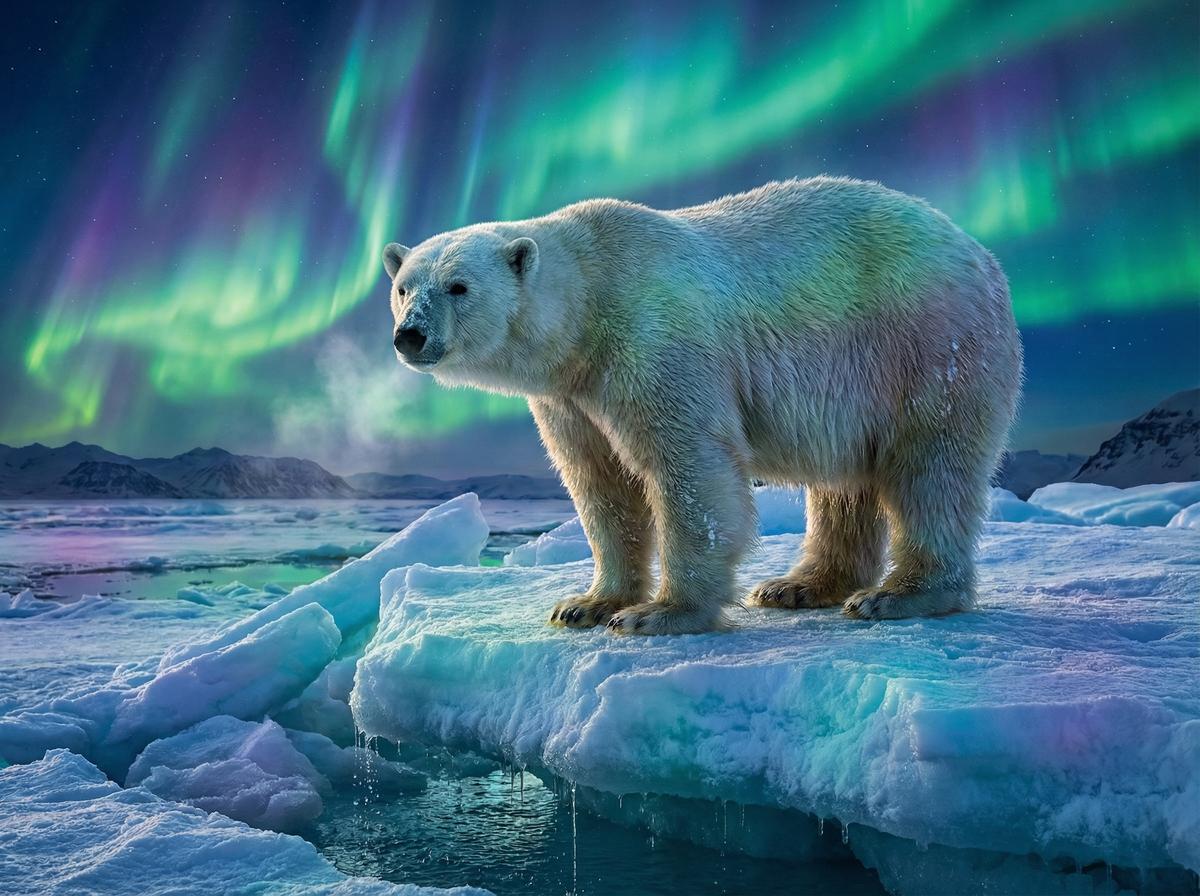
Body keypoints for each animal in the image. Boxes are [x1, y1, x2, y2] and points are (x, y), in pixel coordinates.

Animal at [382, 177, 1023, 635]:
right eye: (404, 285)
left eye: (459, 287)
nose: (409, 336)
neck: (588, 306)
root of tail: (981, 254)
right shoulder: (571, 396)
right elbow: (599, 483)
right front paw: (585, 604)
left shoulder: (654, 342)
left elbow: (690, 469)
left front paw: (660, 614)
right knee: (845, 484)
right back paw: (797, 586)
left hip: (925, 348)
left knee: (930, 470)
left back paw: (899, 595)